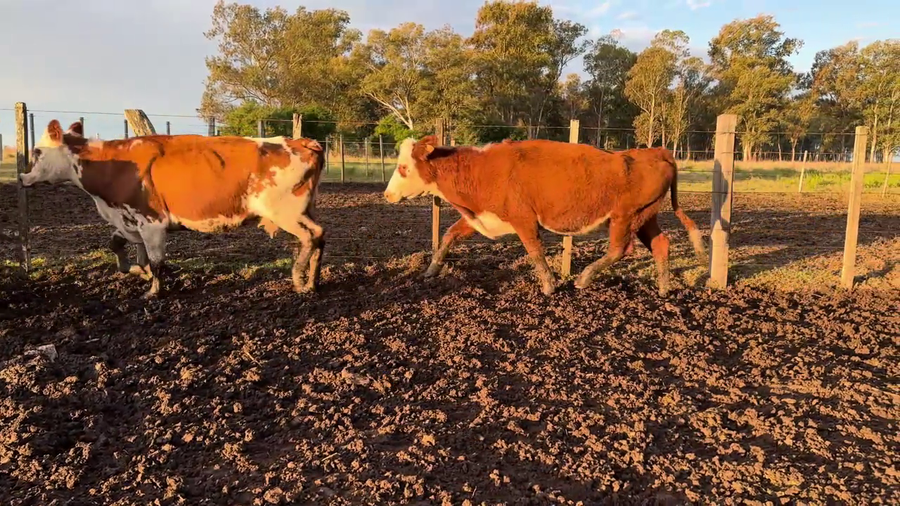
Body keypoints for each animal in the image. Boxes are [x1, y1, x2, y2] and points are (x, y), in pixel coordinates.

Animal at [20, 119, 327, 299]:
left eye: (37, 152)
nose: (22, 177)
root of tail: (302, 142)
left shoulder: (152, 223)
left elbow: (156, 261)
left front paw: (153, 292)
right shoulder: (131, 221)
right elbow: (121, 248)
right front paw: (135, 270)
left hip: (285, 212)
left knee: (311, 237)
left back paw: (299, 280)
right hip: (303, 210)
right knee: (320, 236)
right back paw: (313, 281)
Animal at [383, 136, 706, 297]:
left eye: (403, 167)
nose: (387, 195)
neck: (483, 169)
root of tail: (657, 152)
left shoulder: (523, 219)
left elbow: (535, 250)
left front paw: (550, 286)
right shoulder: (482, 216)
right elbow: (449, 235)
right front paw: (431, 270)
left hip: (625, 217)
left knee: (620, 249)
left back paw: (584, 278)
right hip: (646, 217)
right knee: (661, 244)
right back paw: (663, 289)